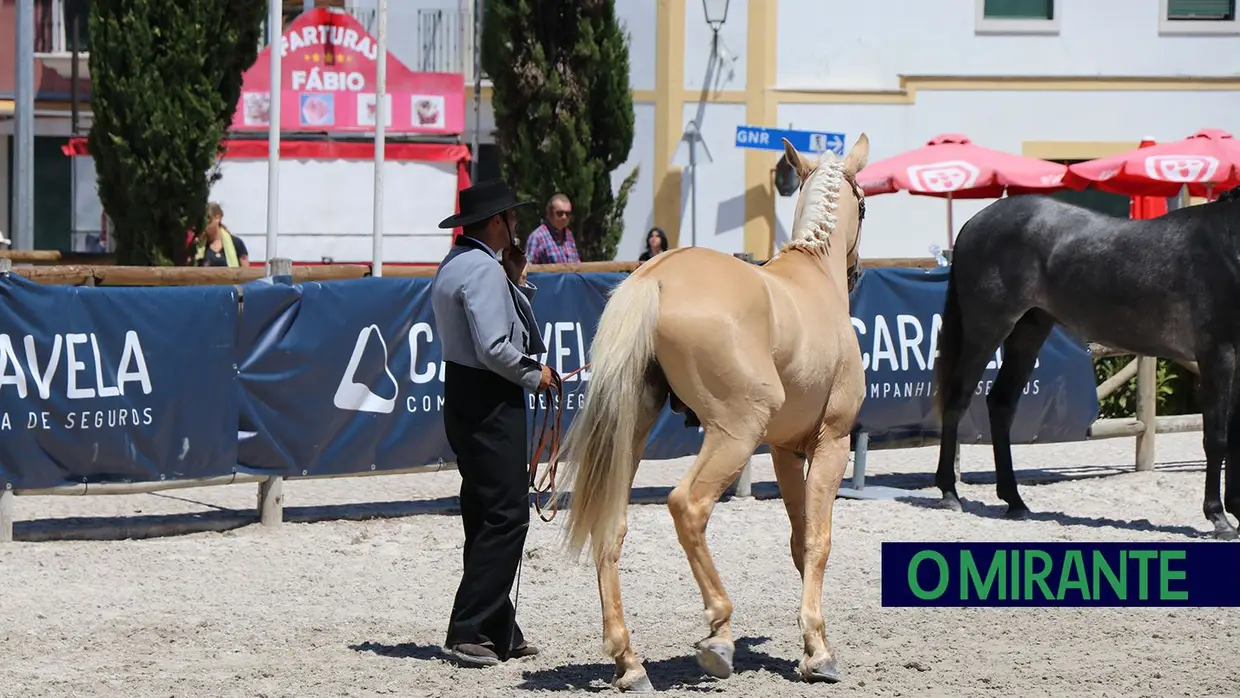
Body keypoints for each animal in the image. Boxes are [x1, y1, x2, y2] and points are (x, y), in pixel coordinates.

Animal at [562, 133, 872, 689]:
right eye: (865, 204)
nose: (857, 272)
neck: (813, 276)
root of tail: (655, 277)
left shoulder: (785, 451)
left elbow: (798, 542)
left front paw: (811, 643)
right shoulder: (831, 443)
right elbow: (818, 541)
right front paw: (818, 652)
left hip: (634, 435)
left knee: (611, 523)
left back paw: (629, 662)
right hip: (734, 433)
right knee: (688, 506)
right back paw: (718, 635)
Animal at [932, 185, 1235, 540]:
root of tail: (975, 222)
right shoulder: (1218, 355)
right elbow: (1217, 438)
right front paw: (1219, 518)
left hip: (1029, 331)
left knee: (1001, 403)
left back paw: (1015, 501)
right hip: (986, 330)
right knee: (957, 399)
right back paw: (950, 493)